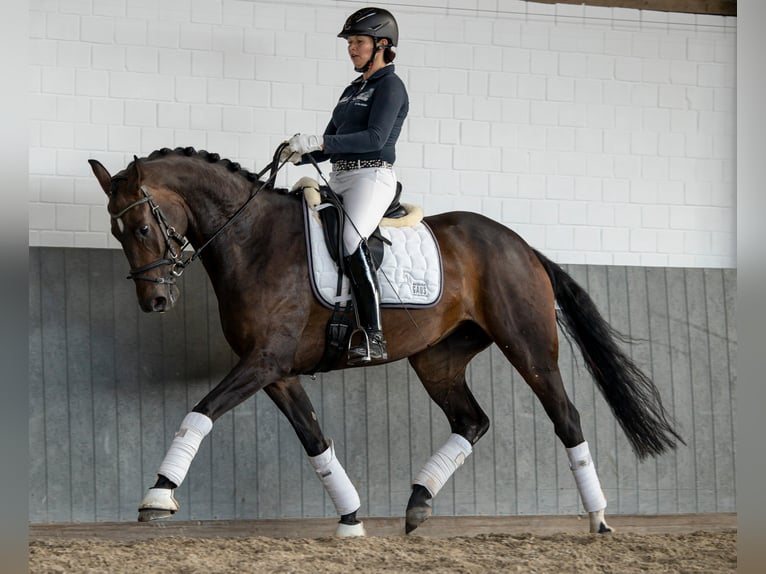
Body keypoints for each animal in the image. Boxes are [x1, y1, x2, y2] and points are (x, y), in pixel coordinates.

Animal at [88, 148, 684, 540]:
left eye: (141, 228)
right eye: (117, 233)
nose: (155, 301)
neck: (253, 240)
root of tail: (520, 245)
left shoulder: (264, 361)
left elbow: (200, 410)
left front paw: (158, 495)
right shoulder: (276, 371)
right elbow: (315, 440)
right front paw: (351, 519)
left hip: (529, 349)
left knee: (567, 419)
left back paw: (598, 518)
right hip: (438, 358)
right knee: (471, 421)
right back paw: (418, 503)